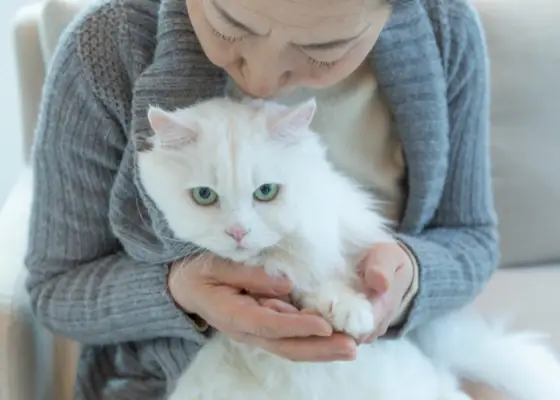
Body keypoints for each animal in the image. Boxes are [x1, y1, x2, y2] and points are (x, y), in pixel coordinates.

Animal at [138, 97, 560, 400]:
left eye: (266, 192)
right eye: (204, 196)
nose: (238, 232)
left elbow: (319, 277)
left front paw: (350, 313)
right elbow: (301, 282)